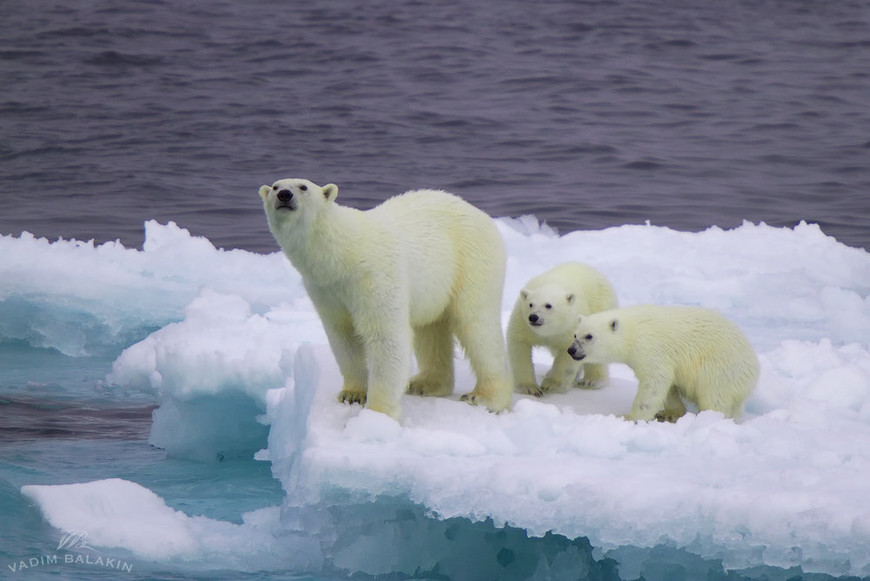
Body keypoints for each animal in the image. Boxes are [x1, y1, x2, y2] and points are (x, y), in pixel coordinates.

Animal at [262, 179, 516, 420]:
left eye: (303, 186)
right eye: (275, 186)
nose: (284, 194)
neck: (343, 254)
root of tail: (481, 214)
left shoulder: (374, 276)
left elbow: (385, 335)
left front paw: (377, 412)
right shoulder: (325, 289)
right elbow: (343, 335)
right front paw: (352, 394)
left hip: (471, 259)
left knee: (476, 324)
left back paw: (484, 397)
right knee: (430, 329)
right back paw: (425, 384)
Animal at [504, 262, 620, 394]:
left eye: (548, 305)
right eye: (530, 304)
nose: (533, 317)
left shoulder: (571, 325)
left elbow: (568, 354)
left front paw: (550, 385)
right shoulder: (523, 322)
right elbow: (519, 345)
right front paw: (529, 388)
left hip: (601, 308)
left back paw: (591, 381)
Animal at [568, 304, 760, 422]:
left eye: (589, 336)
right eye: (575, 334)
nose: (571, 350)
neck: (632, 331)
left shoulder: (651, 348)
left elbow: (655, 380)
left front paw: (629, 417)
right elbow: (667, 385)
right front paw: (668, 413)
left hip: (721, 366)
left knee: (714, 395)